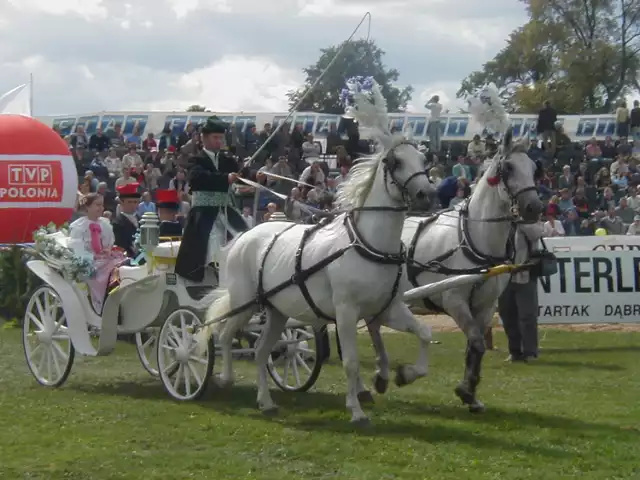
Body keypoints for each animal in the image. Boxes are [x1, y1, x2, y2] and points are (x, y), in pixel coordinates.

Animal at [195, 104, 436, 424]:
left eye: (423, 159)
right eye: (395, 162)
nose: (427, 195)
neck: (367, 244)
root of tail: (242, 238)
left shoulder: (387, 309)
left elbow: (425, 334)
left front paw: (404, 374)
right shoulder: (346, 312)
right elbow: (351, 362)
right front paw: (356, 410)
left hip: (277, 312)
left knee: (260, 351)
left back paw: (266, 401)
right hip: (245, 302)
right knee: (224, 335)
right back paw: (225, 378)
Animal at [362, 129, 544, 410]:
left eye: (534, 168)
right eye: (509, 168)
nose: (534, 207)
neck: (473, 238)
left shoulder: (486, 305)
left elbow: (474, 346)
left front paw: (470, 393)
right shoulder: (454, 300)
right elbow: (477, 343)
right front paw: (465, 390)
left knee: (373, 326)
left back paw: (381, 376)